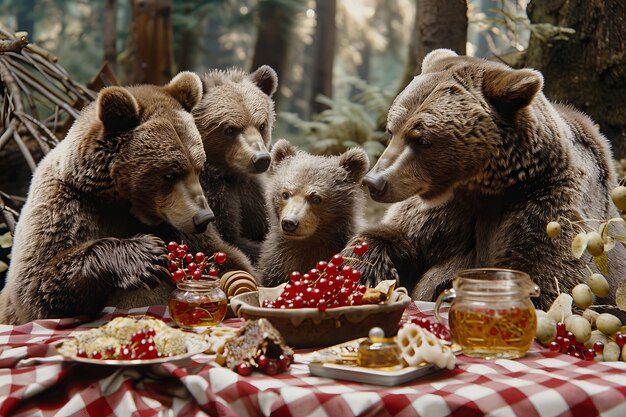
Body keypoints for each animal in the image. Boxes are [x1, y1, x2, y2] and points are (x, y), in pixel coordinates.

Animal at [1, 72, 251, 324]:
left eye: (198, 168)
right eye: (170, 174)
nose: (204, 218)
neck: (121, 203)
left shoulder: (177, 226)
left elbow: (225, 257)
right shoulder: (64, 205)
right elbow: (37, 285)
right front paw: (147, 255)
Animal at [193, 65, 276, 262]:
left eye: (262, 125)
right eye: (230, 129)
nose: (261, 159)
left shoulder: (251, 193)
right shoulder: (213, 195)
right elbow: (232, 240)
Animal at [346, 49, 624, 308]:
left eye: (422, 139)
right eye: (391, 130)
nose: (375, 182)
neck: (485, 192)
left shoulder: (547, 204)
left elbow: (549, 280)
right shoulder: (444, 213)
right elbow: (397, 235)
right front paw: (364, 273)